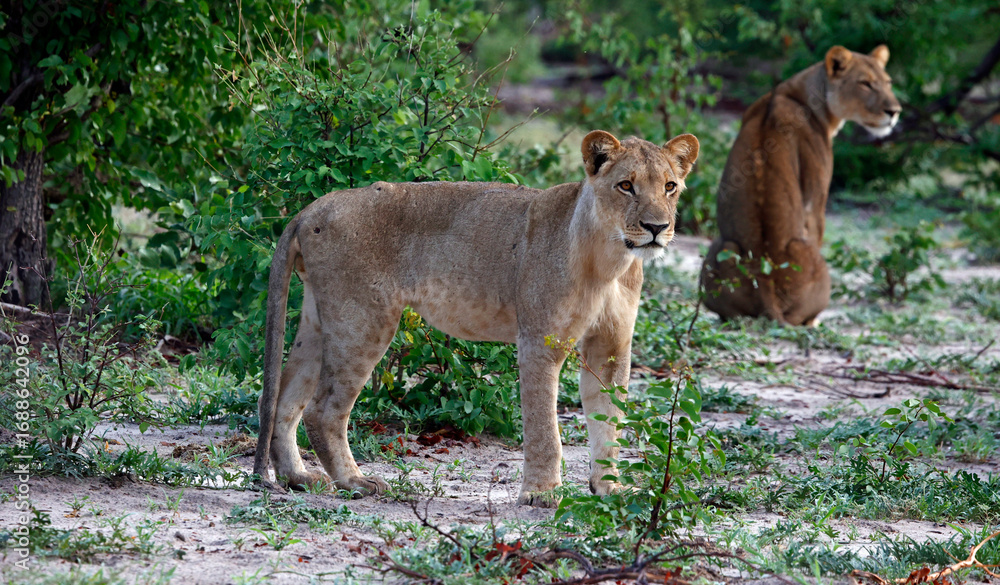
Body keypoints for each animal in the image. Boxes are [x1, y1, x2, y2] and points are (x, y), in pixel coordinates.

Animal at [252, 130, 700, 507]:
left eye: (670, 186)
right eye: (626, 185)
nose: (657, 227)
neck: (610, 258)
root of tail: (312, 208)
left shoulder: (611, 348)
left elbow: (609, 424)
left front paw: (609, 488)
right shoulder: (540, 342)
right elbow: (544, 427)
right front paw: (541, 494)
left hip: (318, 318)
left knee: (284, 398)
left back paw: (298, 477)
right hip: (363, 319)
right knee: (323, 409)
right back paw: (354, 482)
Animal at [700, 45, 901, 325]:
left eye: (888, 83)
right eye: (865, 84)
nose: (894, 112)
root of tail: (765, 280)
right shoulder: (815, 199)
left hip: (719, 249)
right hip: (818, 264)